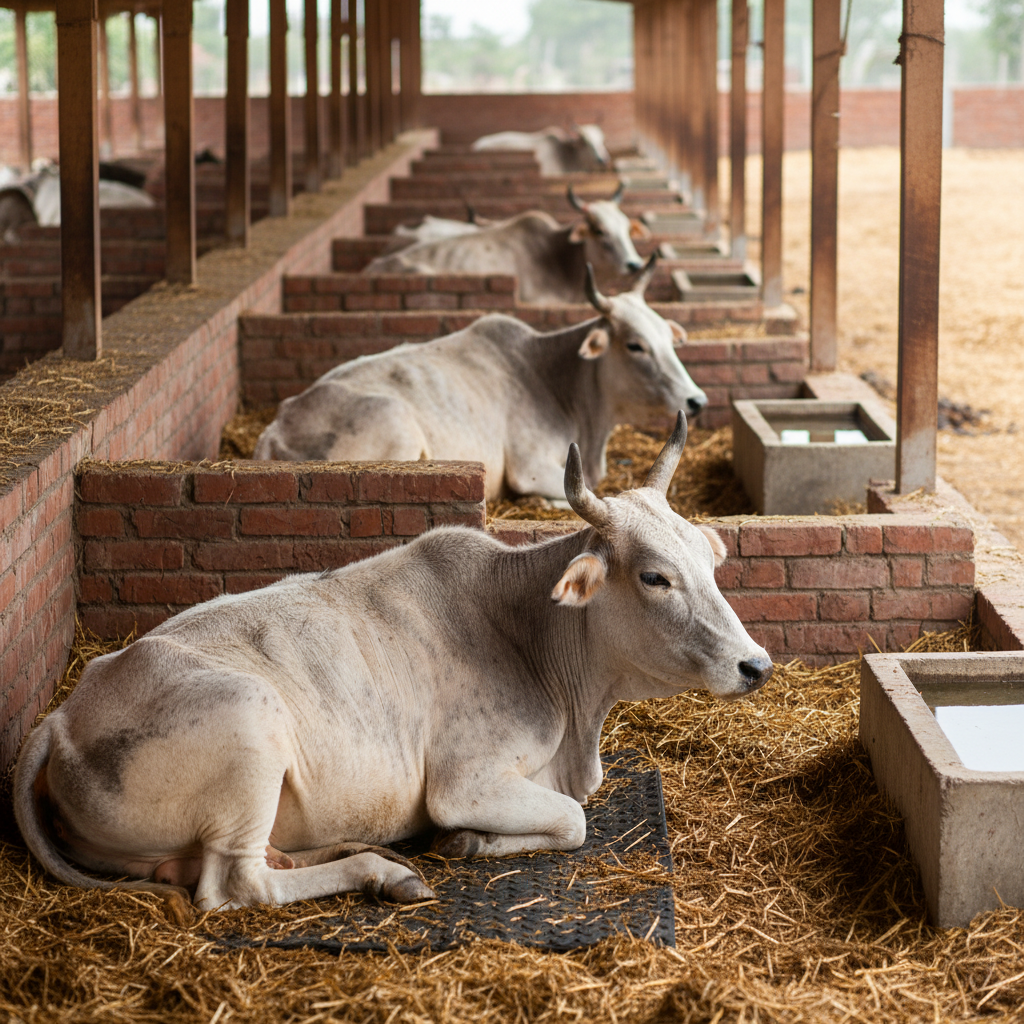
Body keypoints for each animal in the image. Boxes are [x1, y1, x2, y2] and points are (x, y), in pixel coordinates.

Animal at [14, 414, 773, 914]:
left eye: (708, 563)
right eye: (654, 578)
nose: (756, 665)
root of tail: (64, 716)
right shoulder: (466, 780)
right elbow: (571, 821)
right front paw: (465, 841)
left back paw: (366, 854)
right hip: (249, 722)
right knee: (236, 885)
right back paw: (384, 874)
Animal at [253, 257, 707, 501]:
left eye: (668, 338)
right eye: (635, 345)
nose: (697, 400)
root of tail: (275, 429)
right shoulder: (530, 468)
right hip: (396, 423)